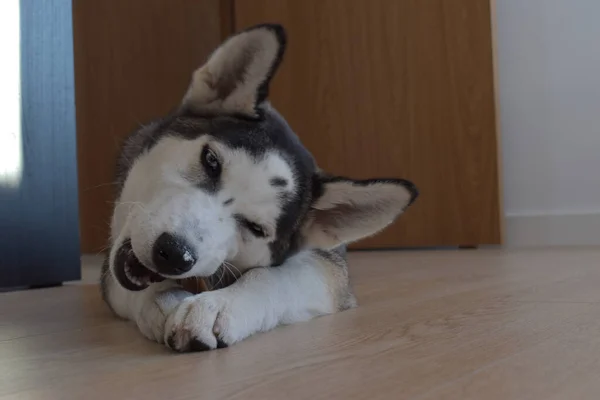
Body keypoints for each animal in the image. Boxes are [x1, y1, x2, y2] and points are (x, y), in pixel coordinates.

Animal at [101, 23, 418, 352]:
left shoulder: (329, 266)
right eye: (210, 160)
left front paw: (216, 306)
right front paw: (164, 303)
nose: (176, 254)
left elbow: (272, 278)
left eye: (256, 228)